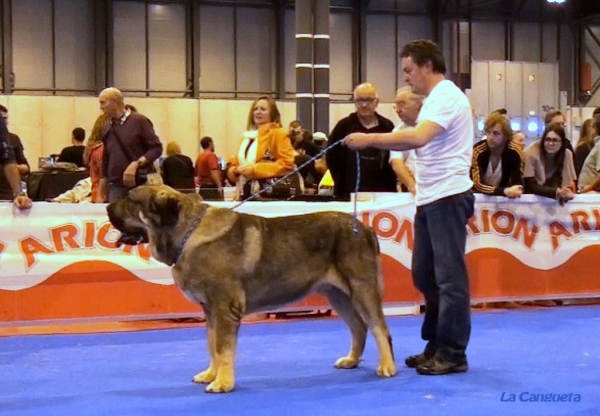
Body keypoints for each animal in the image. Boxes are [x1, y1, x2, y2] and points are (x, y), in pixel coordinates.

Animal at [106, 185, 398, 394]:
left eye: (130, 200)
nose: (108, 206)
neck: (188, 234)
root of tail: (364, 227)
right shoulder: (211, 311)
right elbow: (212, 345)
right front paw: (211, 374)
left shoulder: (224, 309)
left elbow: (223, 348)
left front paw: (222, 383)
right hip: (337, 295)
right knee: (359, 328)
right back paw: (352, 360)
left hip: (362, 288)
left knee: (379, 327)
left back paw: (387, 366)